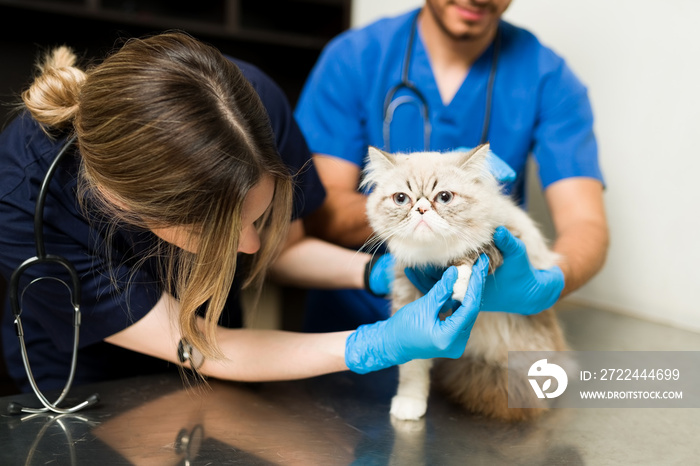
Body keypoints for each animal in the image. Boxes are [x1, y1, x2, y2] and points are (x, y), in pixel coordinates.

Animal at [360, 145, 568, 422]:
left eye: (444, 197)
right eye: (401, 199)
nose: (422, 210)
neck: (435, 259)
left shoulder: (503, 239)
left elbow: (471, 256)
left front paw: (459, 284)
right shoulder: (407, 297)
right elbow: (412, 364)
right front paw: (409, 405)